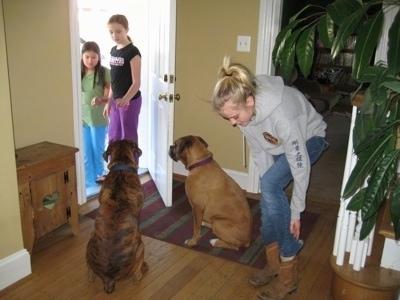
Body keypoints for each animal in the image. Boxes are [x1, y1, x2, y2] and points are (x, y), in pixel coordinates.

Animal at [86, 140, 147, 292]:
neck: (121, 166)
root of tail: (108, 278)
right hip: (141, 247)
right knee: (137, 276)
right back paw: (143, 268)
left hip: (90, 240)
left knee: (90, 274)